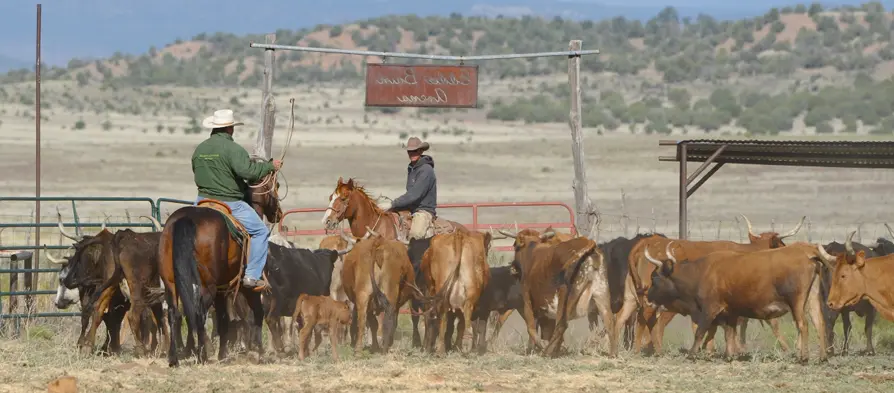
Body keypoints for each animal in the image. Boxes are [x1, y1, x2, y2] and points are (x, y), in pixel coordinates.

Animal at [159, 164, 282, 366]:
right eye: (276, 185)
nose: (278, 213)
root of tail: (186, 219)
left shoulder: (223, 289)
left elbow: (224, 319)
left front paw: (223, 354)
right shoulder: (246, 287)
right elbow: (256, 313)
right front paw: (258, 351)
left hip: (171, 283)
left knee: (174, 313)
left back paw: (174, 358)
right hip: (207, 285)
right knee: (199, 312)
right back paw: (202, 354)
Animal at [652, 243, 832, 362]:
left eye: (655, 278)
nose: (648, 296)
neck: (702, 272)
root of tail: (807, 253)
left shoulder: (710, 309)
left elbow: (701, 331)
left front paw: (692, 354)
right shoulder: (730, 312)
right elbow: (729, 333)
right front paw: (730, 355)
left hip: (796, 303)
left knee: (803, 325)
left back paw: (803, 357)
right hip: (811, 301)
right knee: (819, 323)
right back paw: (822, 356)